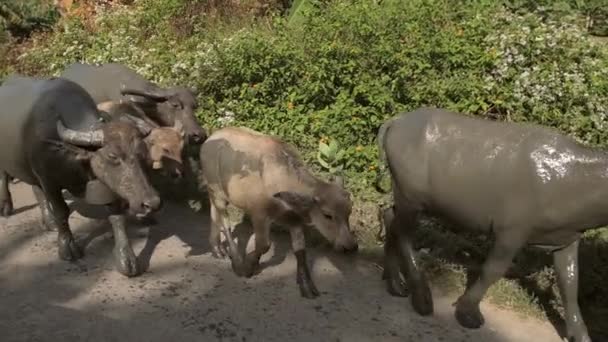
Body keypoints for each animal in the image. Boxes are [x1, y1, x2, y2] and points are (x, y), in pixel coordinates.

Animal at [0, 76, 162, 276]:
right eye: (112, 156)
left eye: (143, 153)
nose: (152, 203)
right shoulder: (49, 181)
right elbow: (62, 211)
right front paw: (67, 247)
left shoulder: (106, 184)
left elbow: (117, 217)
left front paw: (126, 257)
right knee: (5, 177)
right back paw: (6, 207)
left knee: (35, 189)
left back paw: (49, 221)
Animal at [200, 127, 360, 298]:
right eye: (327, 215)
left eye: (349, 212)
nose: (350, 246)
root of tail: (210, 139)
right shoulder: (259, 215)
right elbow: (264, 245)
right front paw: (248, 266)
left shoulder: (294, 219)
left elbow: (300, 250)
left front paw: (306, 285)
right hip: (217, 191)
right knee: (225, 222)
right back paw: (236, 261)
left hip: (215, 193)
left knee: (214, 212)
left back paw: (217, 249)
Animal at [378, 107, 596, 342]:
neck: (573, 178)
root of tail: (395, 122)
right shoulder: (512, 232)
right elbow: (493, 270)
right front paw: (468, 313)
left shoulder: (567, 240)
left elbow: (570, 282)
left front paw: (581, 335)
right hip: (410, 196)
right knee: (404, 234)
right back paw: (421, 299)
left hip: (404, 197)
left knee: (390, 218)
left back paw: (395, 284)